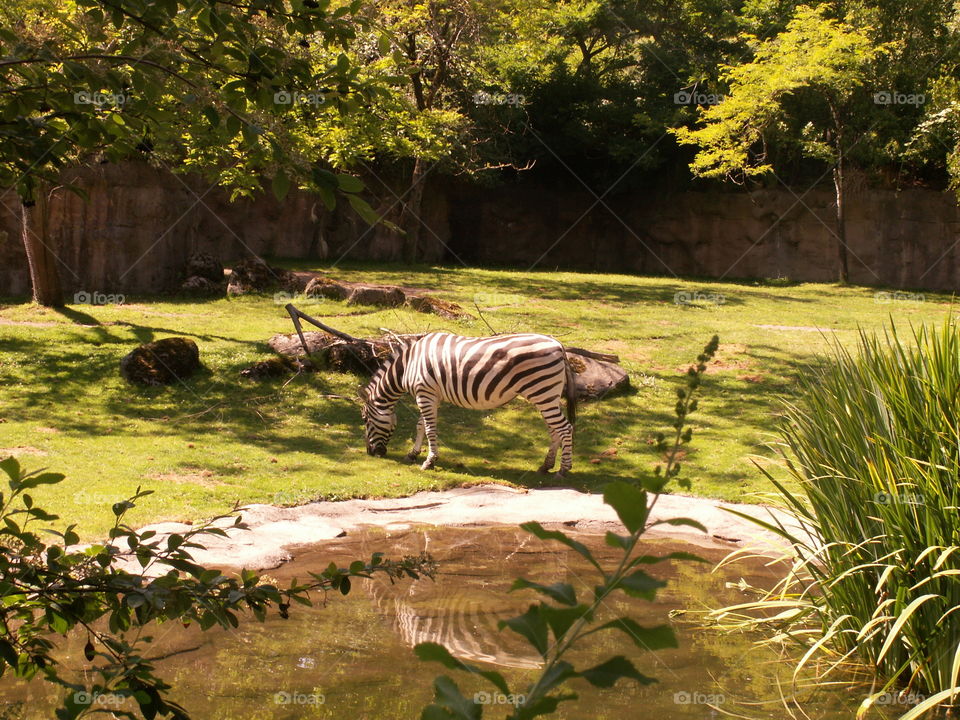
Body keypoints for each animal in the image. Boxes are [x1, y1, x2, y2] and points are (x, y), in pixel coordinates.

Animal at [360, 332, 577, 476]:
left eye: (365, 420)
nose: (371, 453)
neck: (408, 366)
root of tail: (558, 344)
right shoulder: (430, 395)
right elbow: (421, 425)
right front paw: (412, 454)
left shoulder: (425, 394)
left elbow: (430, 428)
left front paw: (430, 461)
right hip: (547, 395)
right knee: (554, 430)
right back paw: (546, 466)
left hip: (543, 393)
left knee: (565, 428)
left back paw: (564, 469)